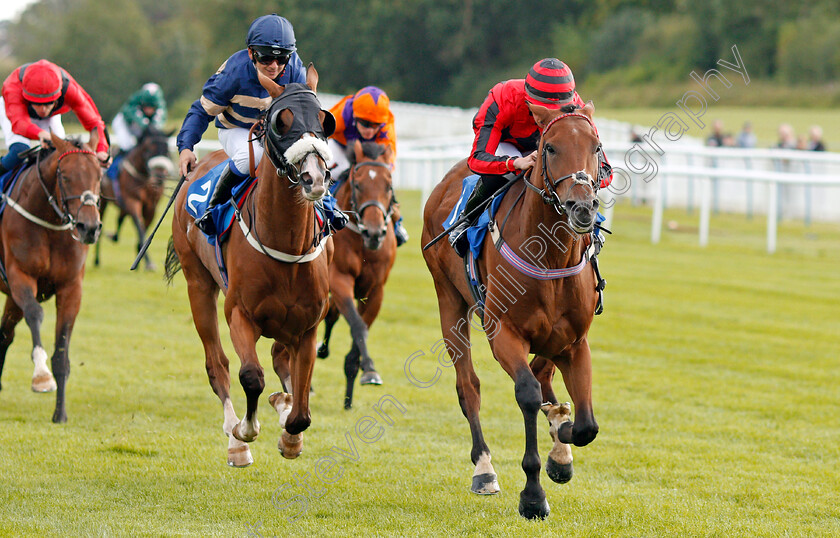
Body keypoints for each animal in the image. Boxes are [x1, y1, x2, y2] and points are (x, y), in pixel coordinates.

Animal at [0, 132, 102, 420]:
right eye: (65, 176)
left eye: (99, 175)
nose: (89, 227)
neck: (50, 224)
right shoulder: (20, 276)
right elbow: (35, 313)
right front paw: (41, 377)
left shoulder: (71, 288)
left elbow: (62, 351)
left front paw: (60, 414)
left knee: (4, 336)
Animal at [94, 124, 175, 268]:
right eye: (149, 150)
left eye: (166, 150)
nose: (159, 177)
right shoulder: (132, 201)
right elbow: (140, 228)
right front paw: (148, 262)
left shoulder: (151, 207)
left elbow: (145, 229)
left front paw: (141, 255)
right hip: (103, 202)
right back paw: (97, 260)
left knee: (120, 219)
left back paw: (114, 236)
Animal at [164, 62, 334, 464]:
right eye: (281, 121)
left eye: (324, 119)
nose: (314, 177)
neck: (285, 244)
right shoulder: (239, 313)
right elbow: (251, 375)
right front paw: (245, 430)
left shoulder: (308, 325)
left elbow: (302, 406)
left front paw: (290, 435)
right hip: (199, 284)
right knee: (218, 365)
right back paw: (235, 441)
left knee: (279, 360)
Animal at [316, 138, 398, 406]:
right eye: (359, 185)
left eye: (388, 185)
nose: (374, 233)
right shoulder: (339, 279)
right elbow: (357, 325)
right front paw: (369, 367)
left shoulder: (375, 289)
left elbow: (361, 326)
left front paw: (363, 372)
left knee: (331, 314)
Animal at [424, 102, 600, 516]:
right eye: (549, 147)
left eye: (597, 147)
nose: (582, 207)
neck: (550, 256)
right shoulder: (504, 333)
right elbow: (528, 393)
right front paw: (533, 495)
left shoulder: (574, 341)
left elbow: (585, 424)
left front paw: (560, 442)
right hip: (448, 300)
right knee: (468, 386)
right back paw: (484, 468)